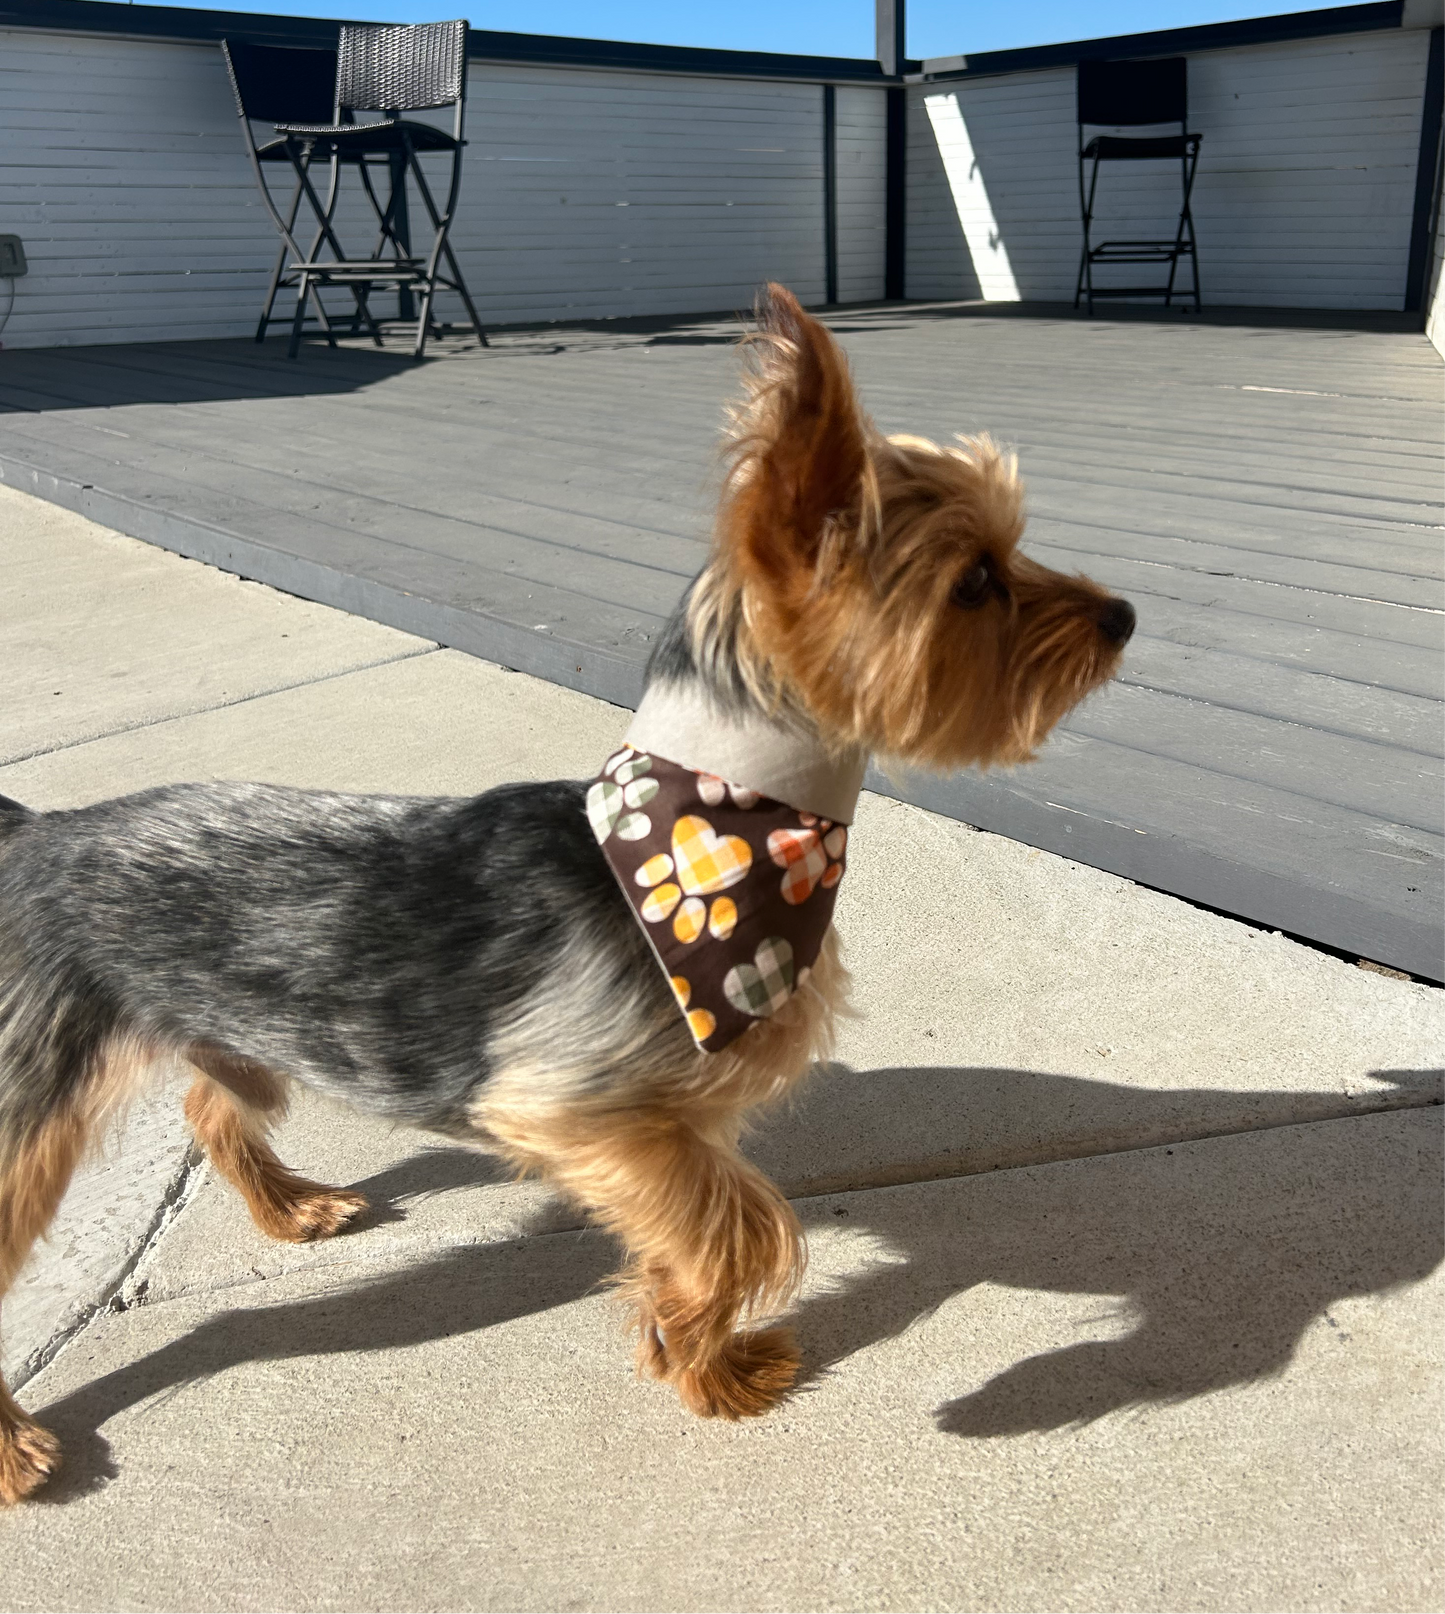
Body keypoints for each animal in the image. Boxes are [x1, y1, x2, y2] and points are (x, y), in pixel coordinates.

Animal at [0, 287, 1130, 1497]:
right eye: (975, 581)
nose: (1122, 617)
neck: (721, 830)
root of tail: (35, 832)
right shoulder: (573, 1102)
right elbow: (740, 1227)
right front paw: (717, 1369)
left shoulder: (660, 1130)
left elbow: (693, 1226)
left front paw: (688, 1349)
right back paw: (18, 1448)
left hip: (238, 1039)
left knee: (217, 1104)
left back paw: (290, 1204)